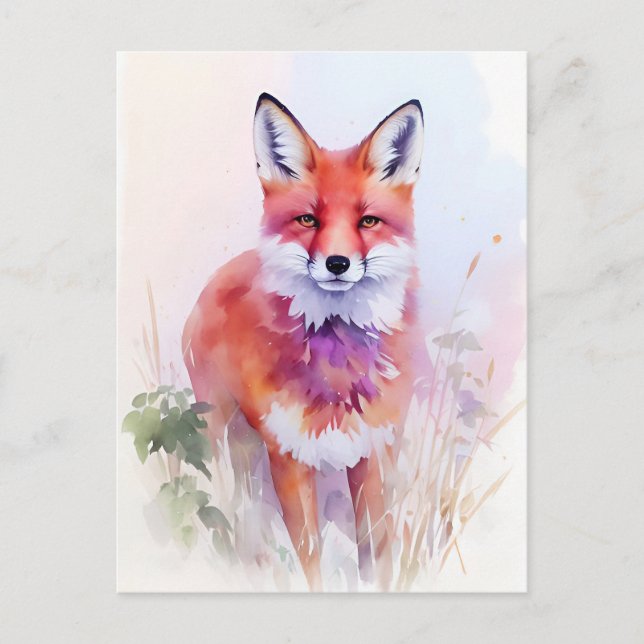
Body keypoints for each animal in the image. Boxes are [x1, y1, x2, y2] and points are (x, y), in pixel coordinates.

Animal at [183, 93, 428, 590]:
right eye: (308, 219)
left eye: (368, 221)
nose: (337, 263)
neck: (338, 370)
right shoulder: (288, 458)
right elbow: (310, 561)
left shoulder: (375, 452)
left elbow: (376, 551)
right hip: (221, 437)